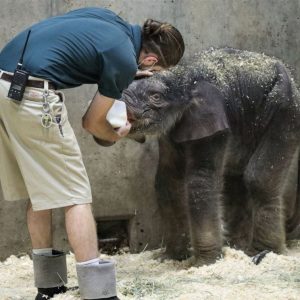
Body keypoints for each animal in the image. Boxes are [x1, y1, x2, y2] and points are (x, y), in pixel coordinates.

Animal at [121, 48, 300, 266]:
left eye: (155, 96)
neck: (184, 76)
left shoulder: (212, 120)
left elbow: (200, 181)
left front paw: (204, 263)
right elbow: (167, 182)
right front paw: (170, 258)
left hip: (286, 110)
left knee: (257, 179)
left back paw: (261, 253)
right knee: (234, 182)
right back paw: (237, 249)